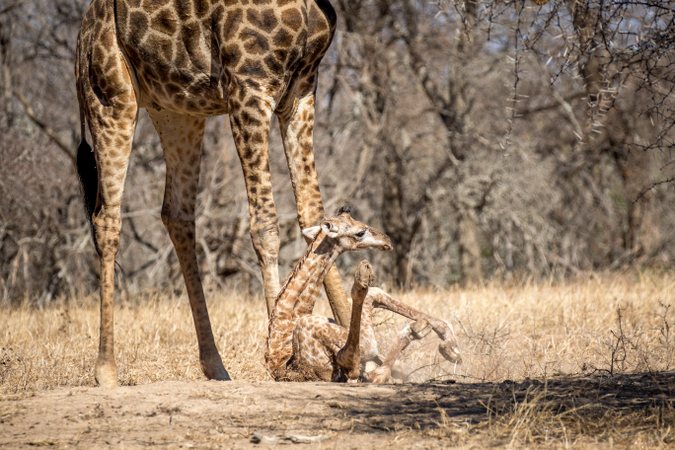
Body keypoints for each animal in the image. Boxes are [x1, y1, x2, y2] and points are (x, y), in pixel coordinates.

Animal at [76, 0, 352, 386]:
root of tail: (84, 28)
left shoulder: (301, 89)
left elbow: (315, 217)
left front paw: (353, 350)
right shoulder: (249, 86)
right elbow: (265, 226)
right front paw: (280, 357)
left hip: (176, 111)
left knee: (177, 215)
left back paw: (215, 365)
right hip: (111, 96)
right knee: (107, 219)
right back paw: (106, 370)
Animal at [266, 208, 462, 384]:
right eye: (360, 232)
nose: (387, 240)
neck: (289, 313)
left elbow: (377, 294)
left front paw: (451, 347)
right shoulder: (356, 347)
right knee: (368, 366)